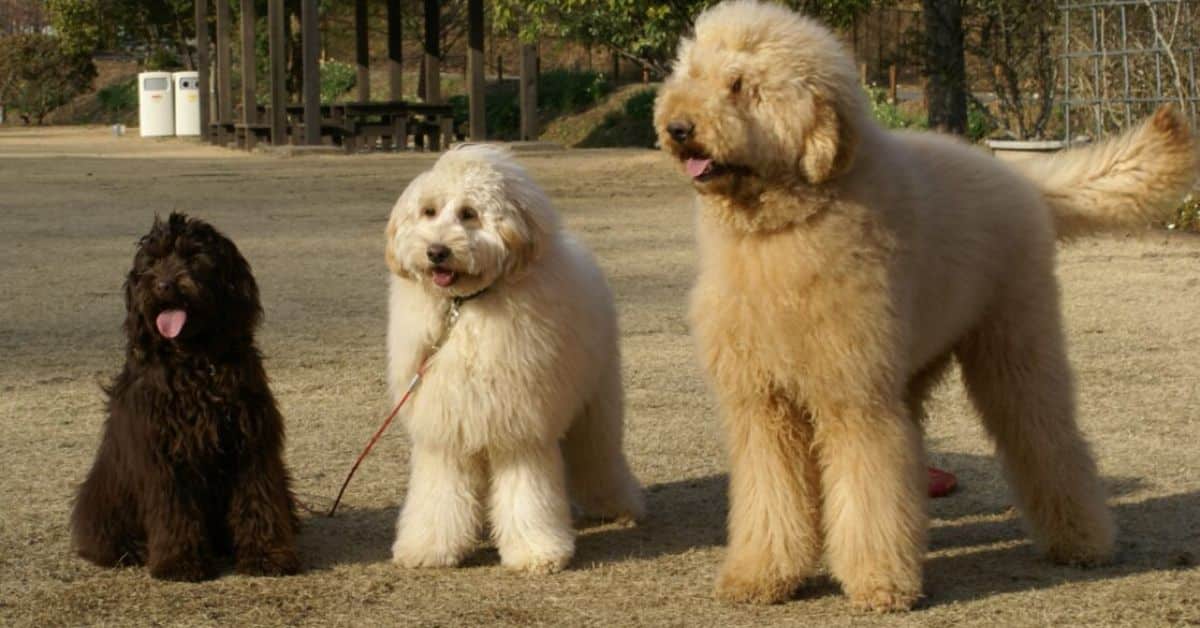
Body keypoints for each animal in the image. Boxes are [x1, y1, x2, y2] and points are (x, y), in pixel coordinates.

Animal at [70, 213, 300, 583]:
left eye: (194, 257)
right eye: (152, 262)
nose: (164, 286)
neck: (195, 360)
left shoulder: (251, 446)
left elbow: (258, 499)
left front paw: (268, 555)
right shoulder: (164, 455)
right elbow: (174, 511)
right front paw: (180, 562)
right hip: (105, 498)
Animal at [384, 143, 648, 573]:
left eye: (468, 213)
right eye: (428, 211)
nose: (436, 252)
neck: (467, 307)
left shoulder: (521, 428)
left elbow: (526, 495)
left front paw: (536, 552)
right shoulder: (448, 428)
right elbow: (439, 494)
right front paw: (429, 547)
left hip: (595, 405)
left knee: (599, 456)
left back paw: (618, 505)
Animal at [657, 0, 1200, 612]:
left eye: (739, 85)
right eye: (692, 73)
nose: (678, 128)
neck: (783, 228)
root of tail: (1022, 180)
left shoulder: (855, 394)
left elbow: (867, 484)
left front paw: (878, 582)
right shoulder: (762, 401)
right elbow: (771, 493)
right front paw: (760, 574)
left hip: (1016, 345)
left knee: (1046, 438)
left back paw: (1082, 539)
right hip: (917, 360)